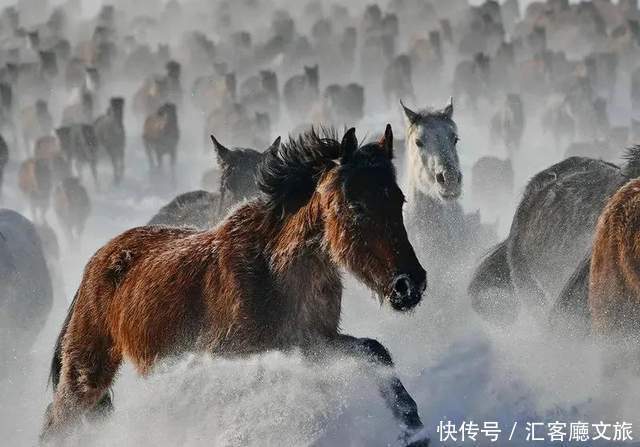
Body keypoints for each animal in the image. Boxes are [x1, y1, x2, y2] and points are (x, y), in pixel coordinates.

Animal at [40, 127, 430, 447]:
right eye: (355, 205)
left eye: (399, 200)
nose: (408, 285)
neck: (273, 269)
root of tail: (95, 262)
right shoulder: (232, 355)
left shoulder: (309, 344)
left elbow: (374, 351)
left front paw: (413, 428)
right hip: (87, 374)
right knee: (57, 423)